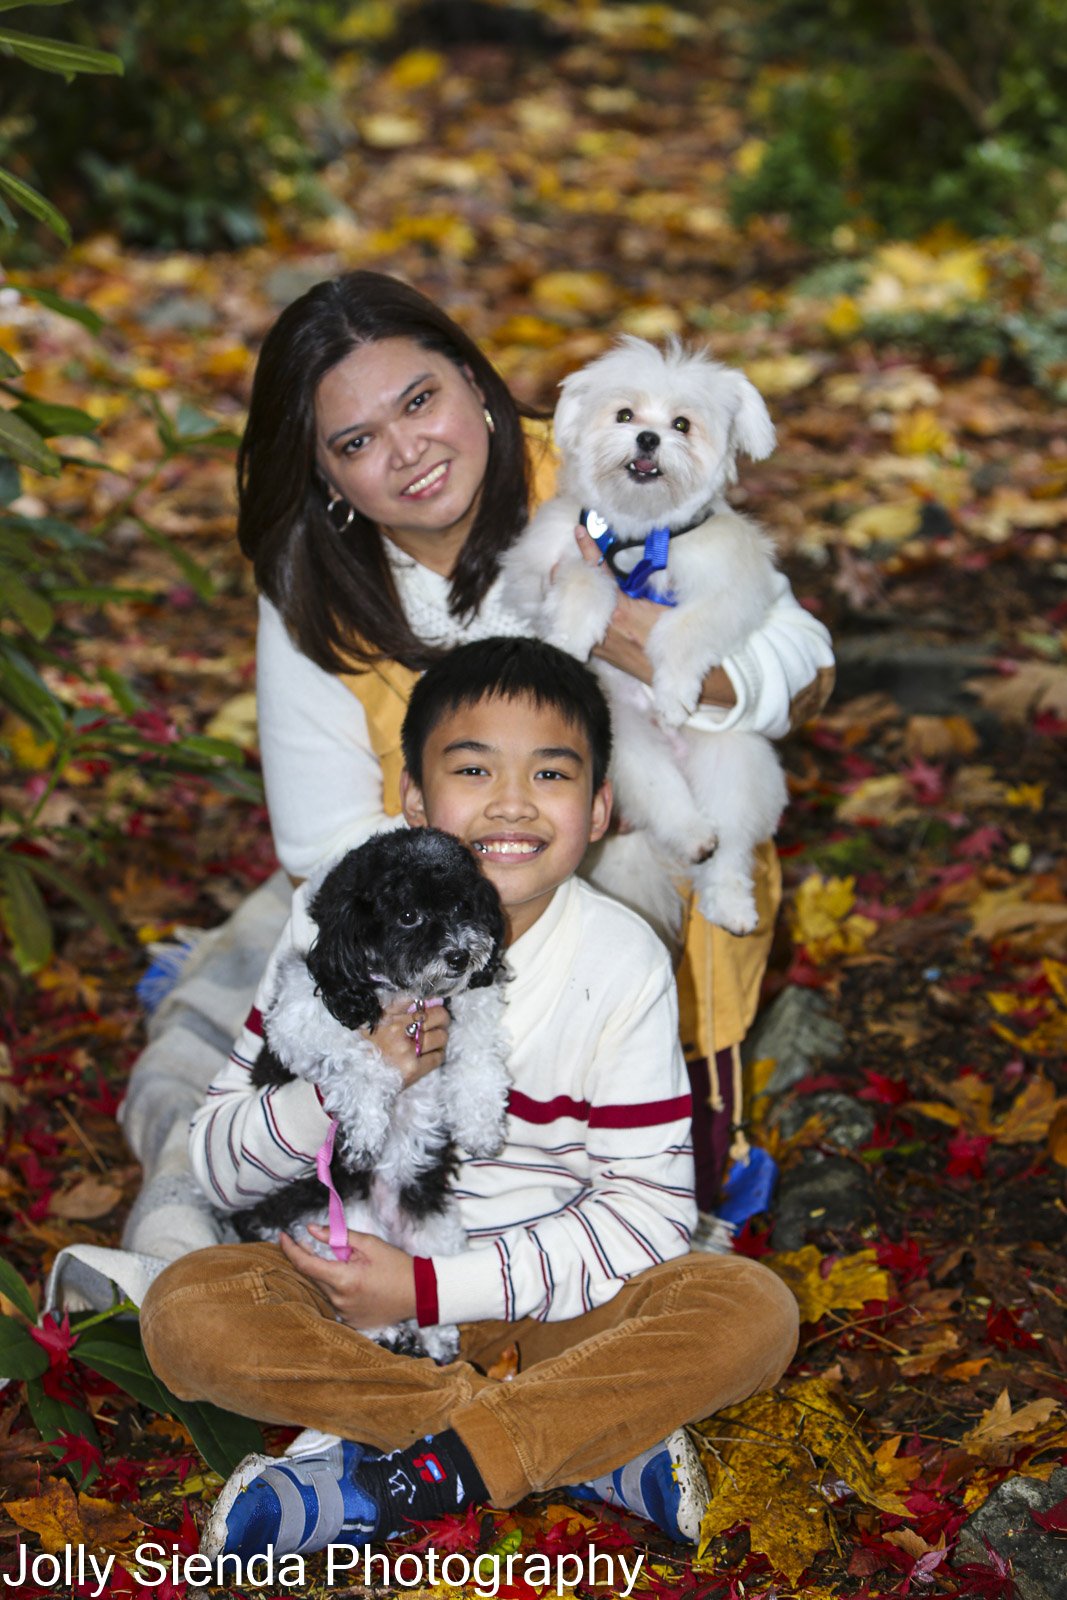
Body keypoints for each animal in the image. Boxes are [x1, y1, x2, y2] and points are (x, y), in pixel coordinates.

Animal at [235, 832, 511, 1356]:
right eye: (407, 916)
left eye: (463, 905)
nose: (459, 956)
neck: (406, 994)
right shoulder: (299, 1023)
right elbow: (357, 1059)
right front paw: (365, 1129)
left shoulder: (470, 1005)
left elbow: (478, 1055)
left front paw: (481, 1125)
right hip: (333, 1219)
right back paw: (386, 1333)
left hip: (428, 1214)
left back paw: (434, 1338)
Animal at [505, 334, 790, 934]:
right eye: (625, 415)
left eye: (682, 424)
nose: (649, 437)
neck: (640, 535)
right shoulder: (534, 569)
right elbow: (582, 575)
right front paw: (571, 637)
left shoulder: (736, 587)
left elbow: (686, 626)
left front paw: (674, 690)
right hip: (628, 751)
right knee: (669, 802)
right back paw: (691, 835)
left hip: (733, 755)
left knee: (729, 846)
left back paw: (730, 901)